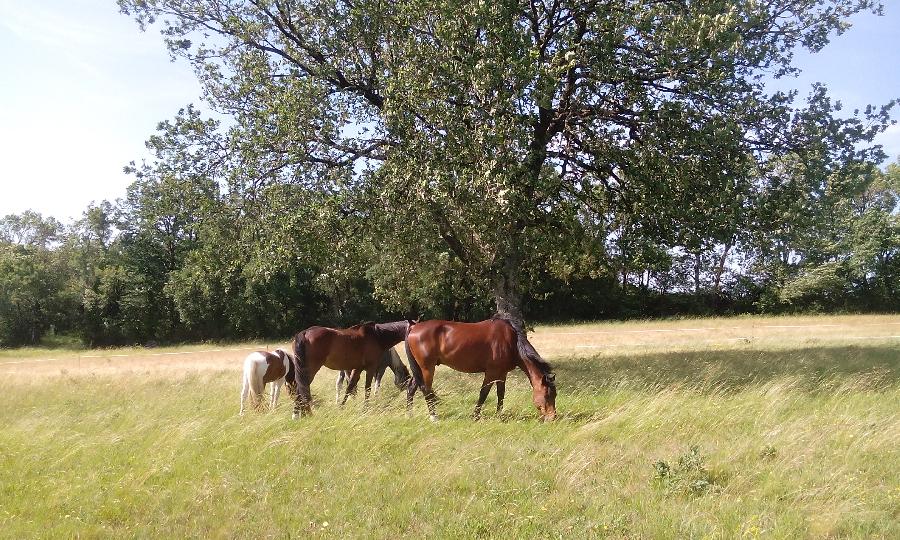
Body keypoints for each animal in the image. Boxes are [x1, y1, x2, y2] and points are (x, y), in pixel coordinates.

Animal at [402, 316, 556, 422]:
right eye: (547, 395)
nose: (552, 417)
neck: (511, 342)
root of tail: (414, 327)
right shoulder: (491, 373)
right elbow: (484, 393)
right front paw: (475, 416)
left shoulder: (502, 374)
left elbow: (501, 394)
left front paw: (499, 416)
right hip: (427, 368)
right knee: (426, 389)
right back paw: (434, 417)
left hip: (419, 369)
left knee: (411, 387)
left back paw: (410, 415)